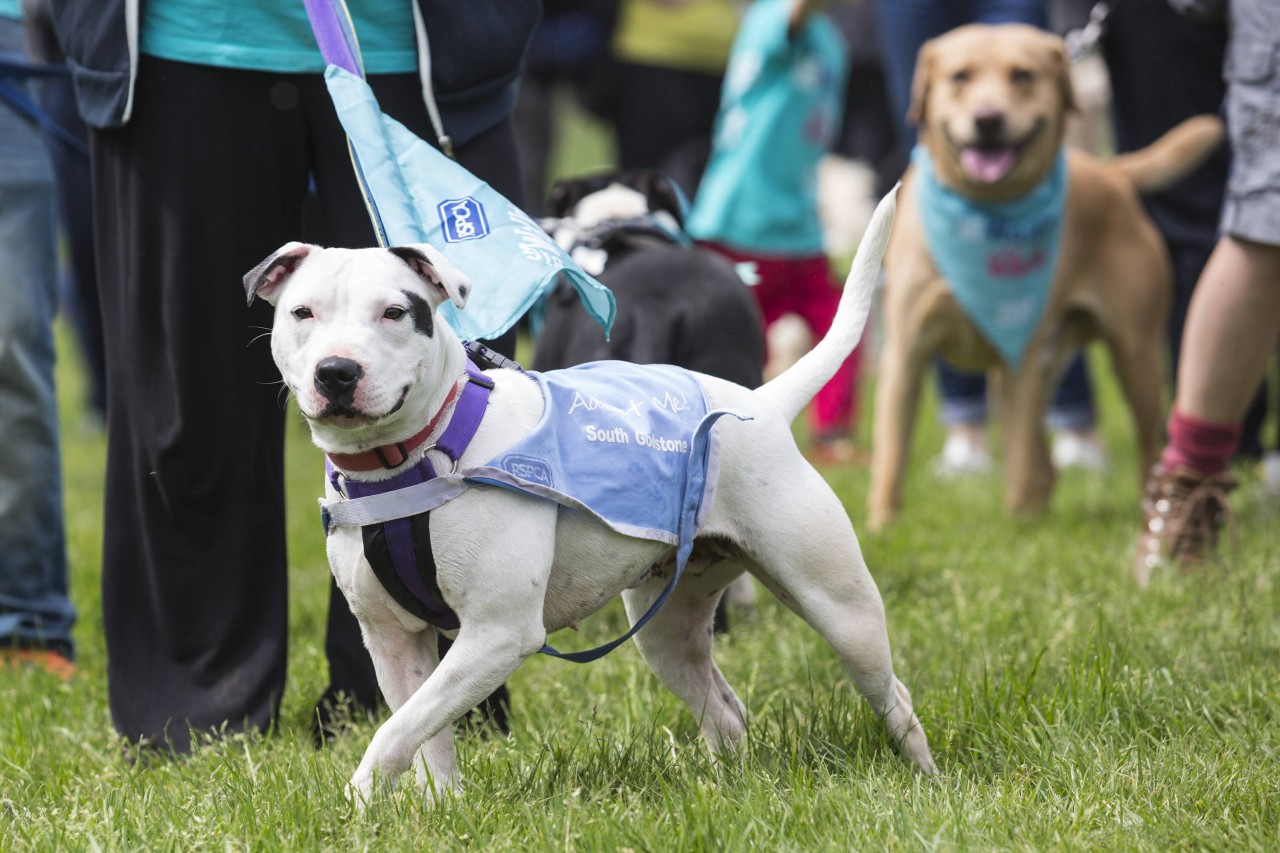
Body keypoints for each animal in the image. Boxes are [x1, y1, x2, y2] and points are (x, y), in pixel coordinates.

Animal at [247, 189, 931, 799]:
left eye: (394, 312)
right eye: (302, 314)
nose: (337, 372)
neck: (421, 453)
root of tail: (761, 405)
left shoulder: (497, 634)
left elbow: (395, 732)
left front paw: (357, 800)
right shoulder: (394, 640)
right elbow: (422, 735)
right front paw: (436, 811)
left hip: (838, 605)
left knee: (892, 693)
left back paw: (924, 777)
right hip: (668, 630)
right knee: (725, 710)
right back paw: (727, 789)